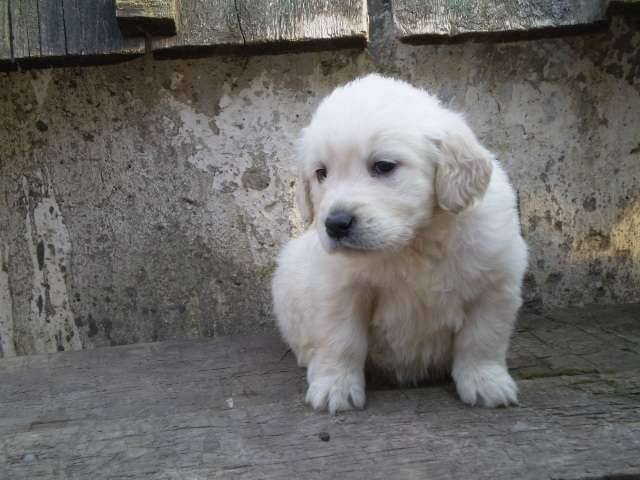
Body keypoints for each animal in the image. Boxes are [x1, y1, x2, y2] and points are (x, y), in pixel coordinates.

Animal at [272, 73, 528, 414]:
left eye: (383, 166)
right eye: (321, 173)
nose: (335, 224)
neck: (412, 243)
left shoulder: (495, 282)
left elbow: (482, 338)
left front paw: (486, 381)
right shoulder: (338, 290)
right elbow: (341, 340)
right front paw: (335, 386)